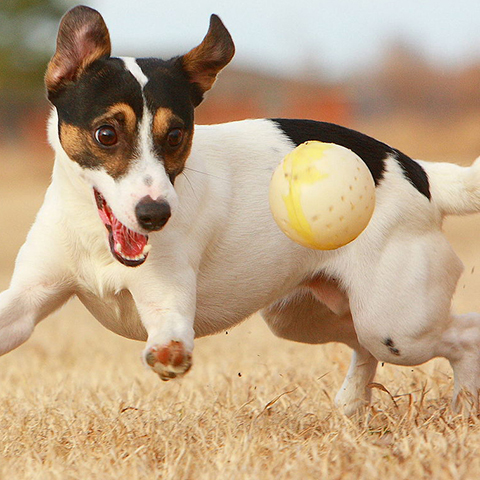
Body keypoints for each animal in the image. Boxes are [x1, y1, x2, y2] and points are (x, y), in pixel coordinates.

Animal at [0, 4, 480, 416]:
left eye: (175, 136)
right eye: (106, 134)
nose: (156, 215)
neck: (94, 237)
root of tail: (421, 172)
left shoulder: (169, 304)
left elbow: (170, 338)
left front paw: (169, 357)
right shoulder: (25, 304)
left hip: (396, 325)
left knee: (464, 334)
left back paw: (463, 405)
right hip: (307, 316)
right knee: (362, 345)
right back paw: (352, 404)